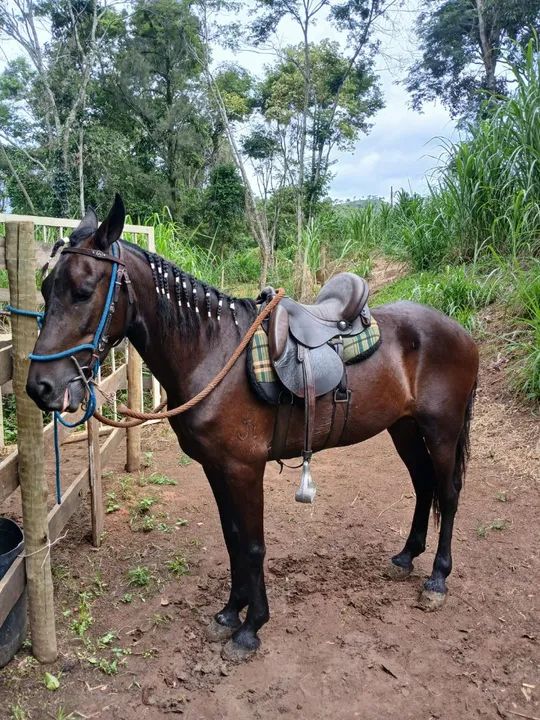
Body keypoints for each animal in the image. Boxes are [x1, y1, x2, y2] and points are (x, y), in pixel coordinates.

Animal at [27, 195, 479, 662]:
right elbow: (233, 538)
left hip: (441, 430)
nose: (41, 387)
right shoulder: (216, 467)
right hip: (403, 428)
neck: (211, 351)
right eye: (45, 289)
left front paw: (251, 627)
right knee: (424, 485)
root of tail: (462, 332)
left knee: (448, 493)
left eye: (83, 292)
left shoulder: (245, 468)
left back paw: (438, 578)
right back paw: (407, 557)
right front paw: (230, 612)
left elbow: (253, 544)